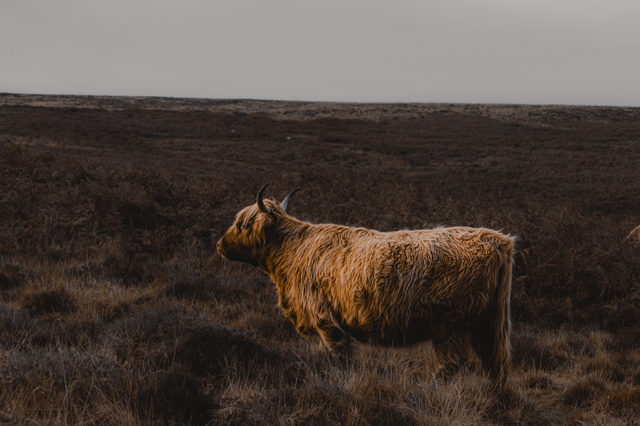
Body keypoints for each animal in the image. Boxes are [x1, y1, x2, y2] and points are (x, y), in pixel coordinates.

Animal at [217, 184, 516, 384]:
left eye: (242, 224)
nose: (219, 245)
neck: (291, 251)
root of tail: (496, 240)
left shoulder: (326, 321)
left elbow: (340, 358)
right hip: (486, 324)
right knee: (494, 364)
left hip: (452, 326)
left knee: (454, 365)